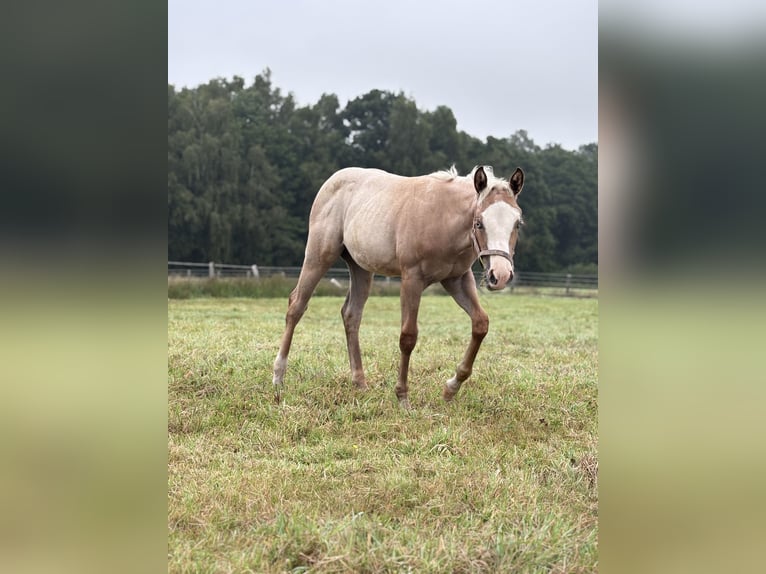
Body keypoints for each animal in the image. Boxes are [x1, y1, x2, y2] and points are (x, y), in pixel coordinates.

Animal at [272, 165, 525, 407]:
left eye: (517, 224)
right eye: (479, 223)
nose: (500, 275)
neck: (443, 217)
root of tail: (332, 181)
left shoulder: (457, 279)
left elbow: (480, 324)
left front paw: (450, 388)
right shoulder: (411, 278)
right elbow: (408, 336)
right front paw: (402, 397)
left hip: (361, 268)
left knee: (351, 314)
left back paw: (360, 383)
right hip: (319, 256)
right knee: (296, 305)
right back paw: (278, 377)